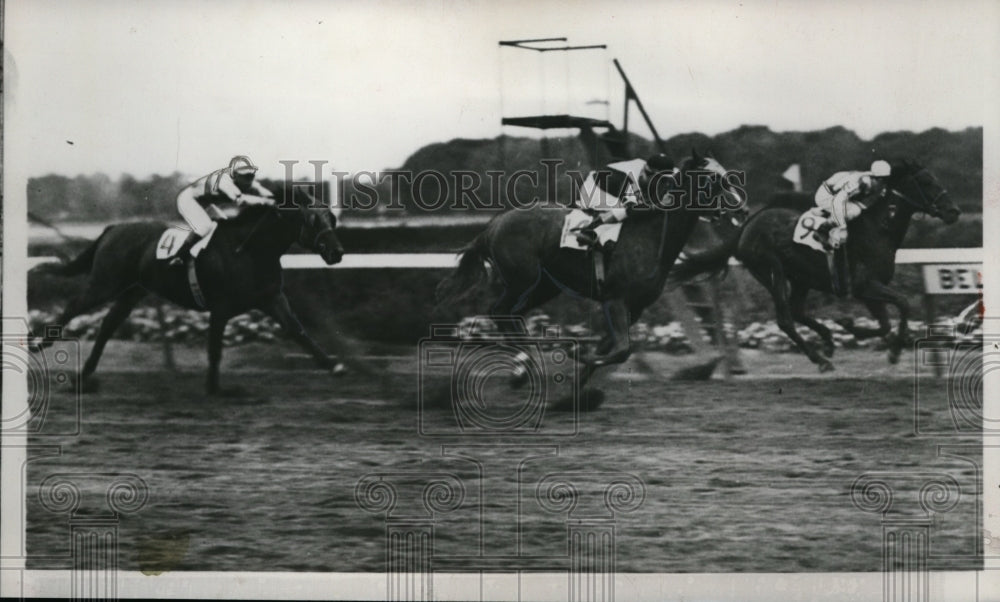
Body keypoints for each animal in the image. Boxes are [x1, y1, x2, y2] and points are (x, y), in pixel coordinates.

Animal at [31, 184, 346, 394]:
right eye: (313, 219)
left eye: (332, 218)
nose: (337, 252)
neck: (248, 251)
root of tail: (113, 229)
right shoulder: (221, 307)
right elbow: (215, 349)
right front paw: (215, 388)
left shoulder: (272, 298)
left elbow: (299, 331)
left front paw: (333, 365)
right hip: (105, 283)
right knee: (75, 305)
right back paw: (39, 343)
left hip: (132, 291)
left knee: (108, 325)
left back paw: (84, 377)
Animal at [434, 151, 748, 390]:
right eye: (713, 178)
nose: (742, 210)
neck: (652, 235)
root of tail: (494, 224)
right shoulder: (616, 299)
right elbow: (621, 350)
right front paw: (576, 352)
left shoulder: (636, 307)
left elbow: (610, 348)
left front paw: (577, 384)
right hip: (523, 279)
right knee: (499, 311)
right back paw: (522, 364)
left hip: (546, 286)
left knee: (513, 314)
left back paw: (523, 367)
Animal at [672, 157, 960, 368]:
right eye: (927, 181)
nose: (954, 212)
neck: (879, 230)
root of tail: (748, 225)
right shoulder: (864, 285)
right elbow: (903, 303)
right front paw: (891, 350)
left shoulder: (868, 290)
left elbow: (885, 323)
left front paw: (855, 330)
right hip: (771, 269)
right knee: (785, 319)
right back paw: (820, 359)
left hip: (801, 278)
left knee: (797, 311)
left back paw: (828, 341)